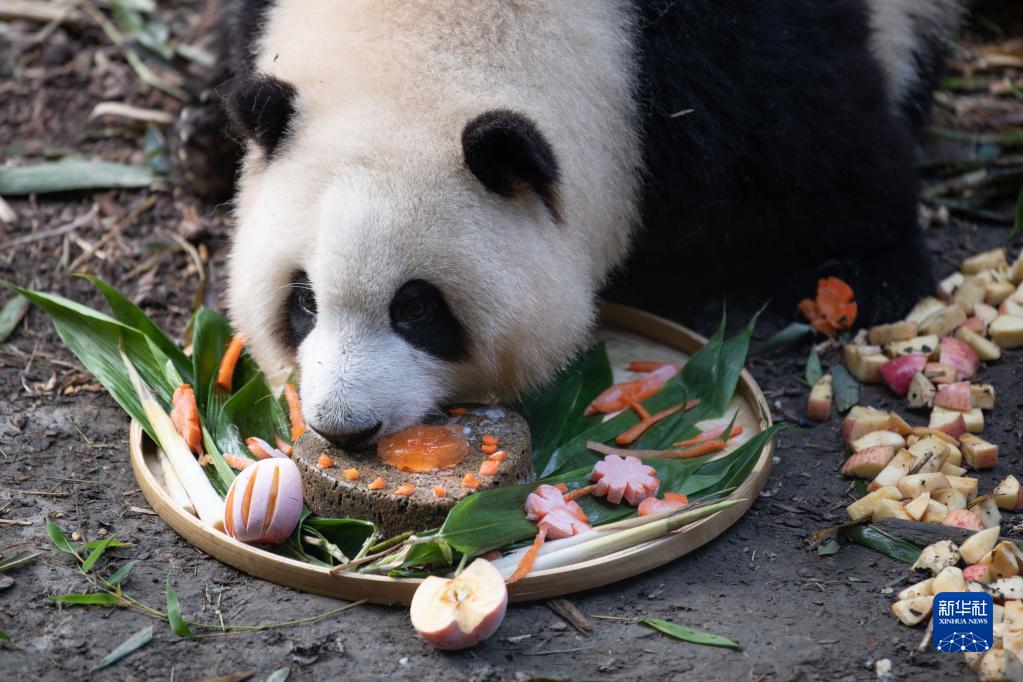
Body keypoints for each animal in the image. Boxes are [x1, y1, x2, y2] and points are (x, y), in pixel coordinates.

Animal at [195, 0, 961, 449]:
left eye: (416, 308)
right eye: (302, 302)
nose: (345, 428)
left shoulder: (735, 53)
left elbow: (817, 136)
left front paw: (873, 274)